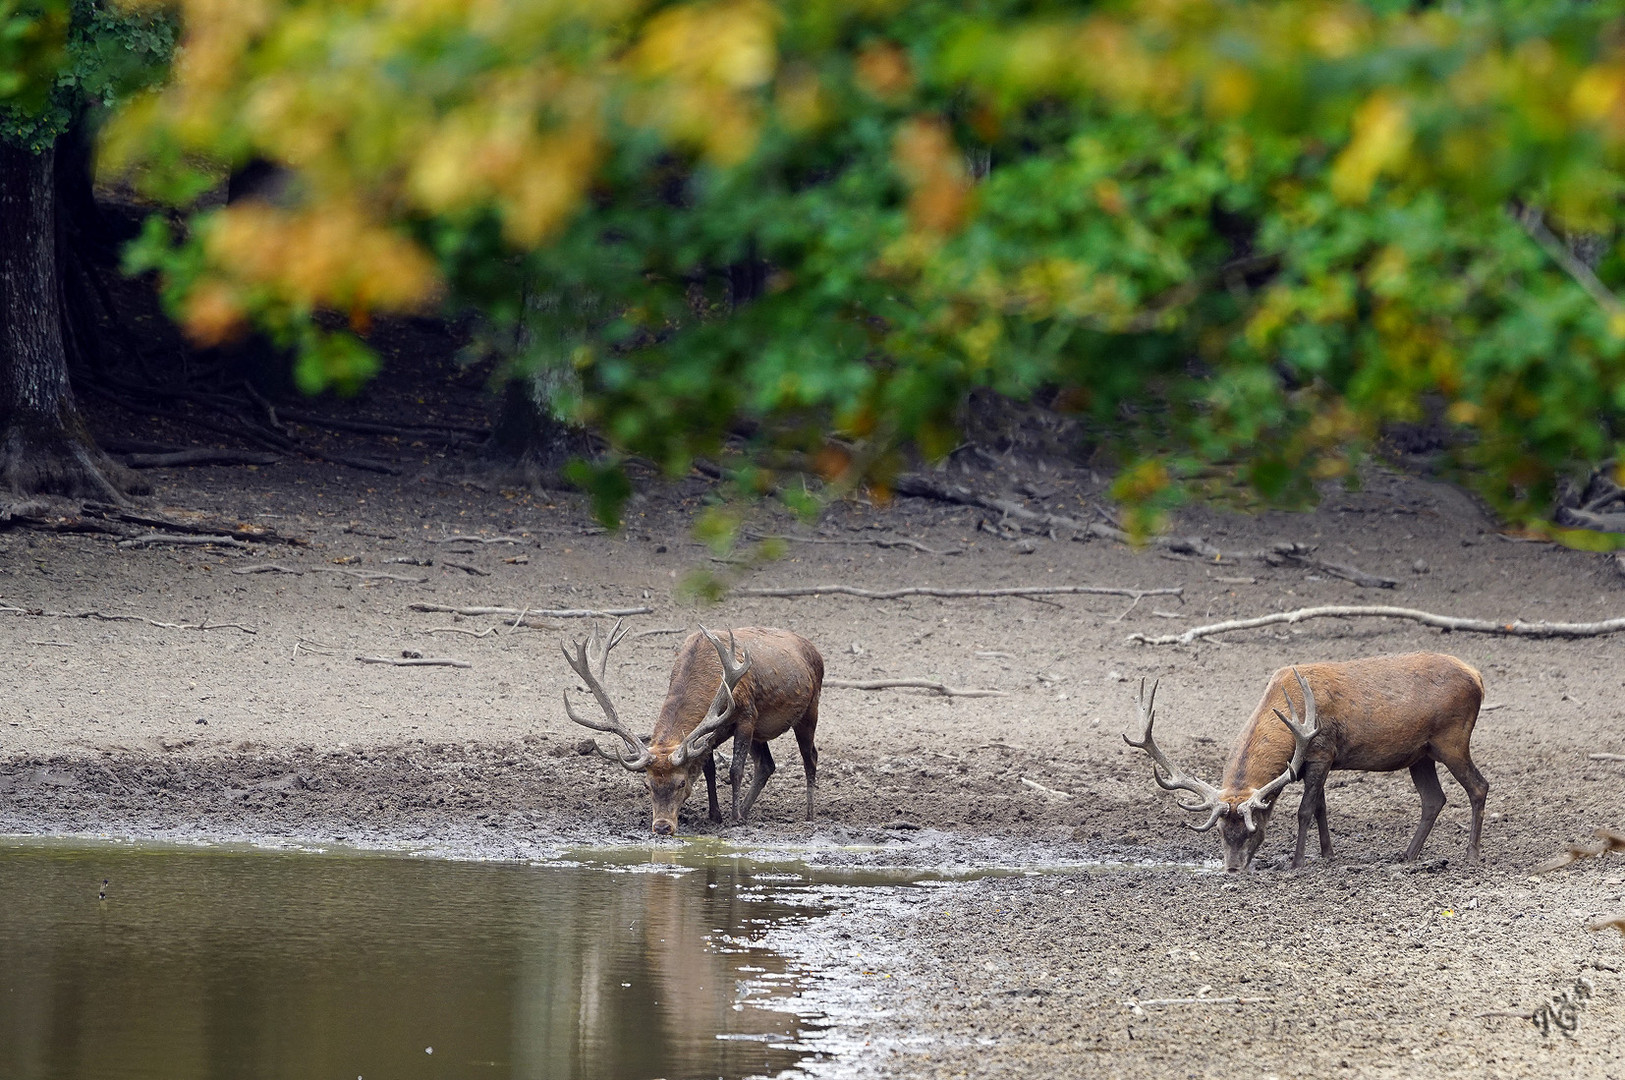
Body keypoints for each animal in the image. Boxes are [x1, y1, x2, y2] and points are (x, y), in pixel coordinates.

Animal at [568, 623, 825, 831]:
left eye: (681, 783)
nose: (662, 826)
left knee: (810, 757)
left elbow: (735, 769)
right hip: (760, 733)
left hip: (810, 708)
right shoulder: (706, 737)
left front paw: (734, 818)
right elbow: (709, 770)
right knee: (766, 764)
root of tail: (813, 648)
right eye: (647, 785)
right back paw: (746, 809)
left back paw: (809, 815)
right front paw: (715, 815)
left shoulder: (747, 715)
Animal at [1131, 649, 1488, 870]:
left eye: (1253, 829)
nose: (1232, 869)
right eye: (1219, 830)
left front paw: (1297, 861)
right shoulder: (1313, 763)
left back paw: (1471, 854)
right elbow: (1320, 808)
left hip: (1452, 739)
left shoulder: (1320, 751)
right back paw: (1407, 856)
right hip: (1420, 753)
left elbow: (1304, 811)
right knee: (1434, 799)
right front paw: (1328, 854)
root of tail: (1478, 677)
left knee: (1479, 786)